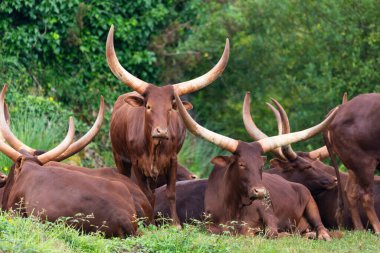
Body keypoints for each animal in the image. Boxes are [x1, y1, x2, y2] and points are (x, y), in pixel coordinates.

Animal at [106, 24, 229, 224]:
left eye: (171, 108)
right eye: (148, 106)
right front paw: (149, 222)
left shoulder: (172, 160)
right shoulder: (136, 163)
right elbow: (145, 194)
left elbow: (171, 193)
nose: (161, 132)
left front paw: (175, 224)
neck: (154, 147)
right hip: (119, 158)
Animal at [174, 91, 336, 239]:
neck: (232, 208)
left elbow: (270, 233)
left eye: (260, 165)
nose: (261, 192)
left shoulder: (269, 217)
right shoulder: (208, 225)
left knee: (320, 227)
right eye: (241, 164)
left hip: (311, 203)